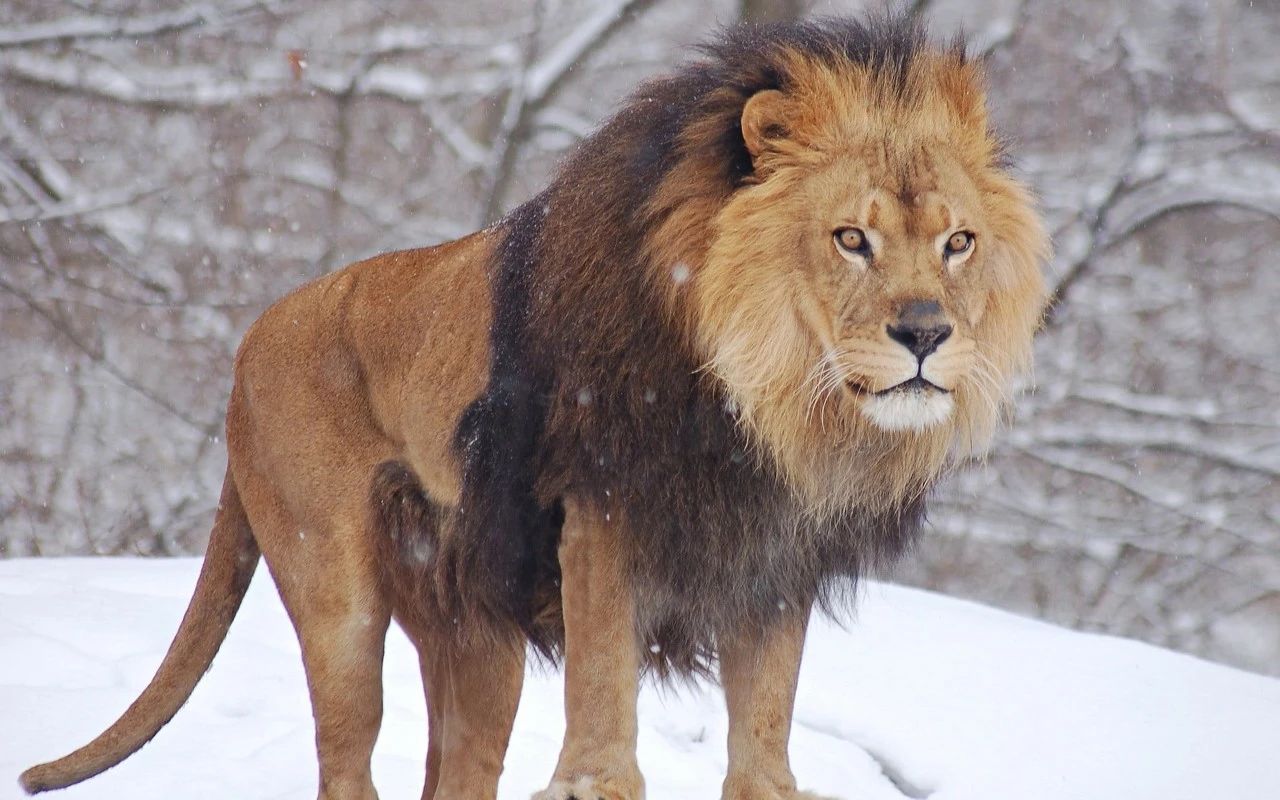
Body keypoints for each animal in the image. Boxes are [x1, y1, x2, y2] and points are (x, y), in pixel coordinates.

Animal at [22, 14, 1049, 798]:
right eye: (850, 239)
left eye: (958, 243)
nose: (926, 334)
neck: (764, 405)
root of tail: (246, 344)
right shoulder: (601, 509)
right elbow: (602, 692)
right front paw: (594, 783)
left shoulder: (771, 559)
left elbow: (763, 734)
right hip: (336, 595)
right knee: (347, 761)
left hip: (477, 639)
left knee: (453, 774)